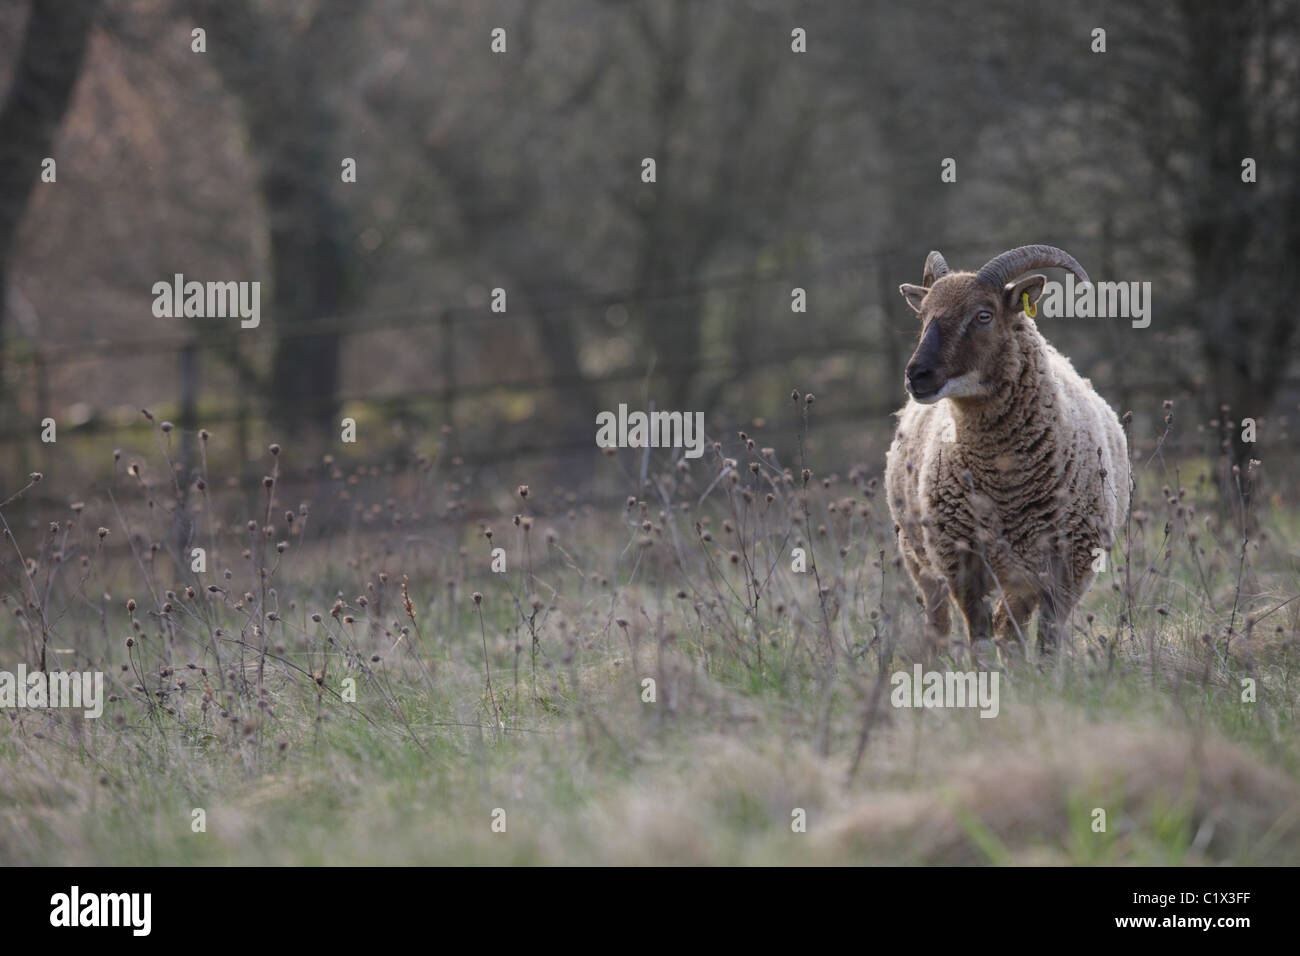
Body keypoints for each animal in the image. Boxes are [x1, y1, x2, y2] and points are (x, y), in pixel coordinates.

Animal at [884, 244, 1130, 658]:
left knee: (1009, 624)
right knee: (939, 621)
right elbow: (979, 636)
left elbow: (1046, 639)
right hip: (919, 557)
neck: (1006, 485)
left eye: (983, 315)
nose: (917, 375)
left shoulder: (1068, 566)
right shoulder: (961, 562)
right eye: (923, 314)